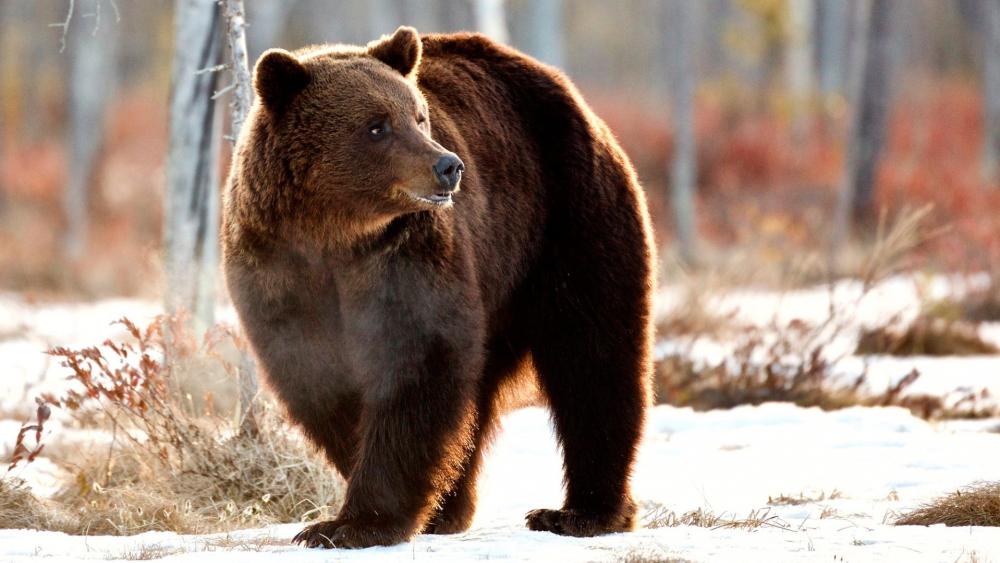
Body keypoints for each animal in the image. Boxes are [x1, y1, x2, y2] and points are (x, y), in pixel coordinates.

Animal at [222, 26, 655, 549]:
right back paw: (456, 505)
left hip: (568, 219)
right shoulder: (279, 274)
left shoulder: (407, 258)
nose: (448, 166)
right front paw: (380, 509)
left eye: (419, 115)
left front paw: (356, 522)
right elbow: (321, 380)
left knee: (593, 355)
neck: (335, 238)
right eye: (376, 126)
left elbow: (417, 365)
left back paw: (580, 512)